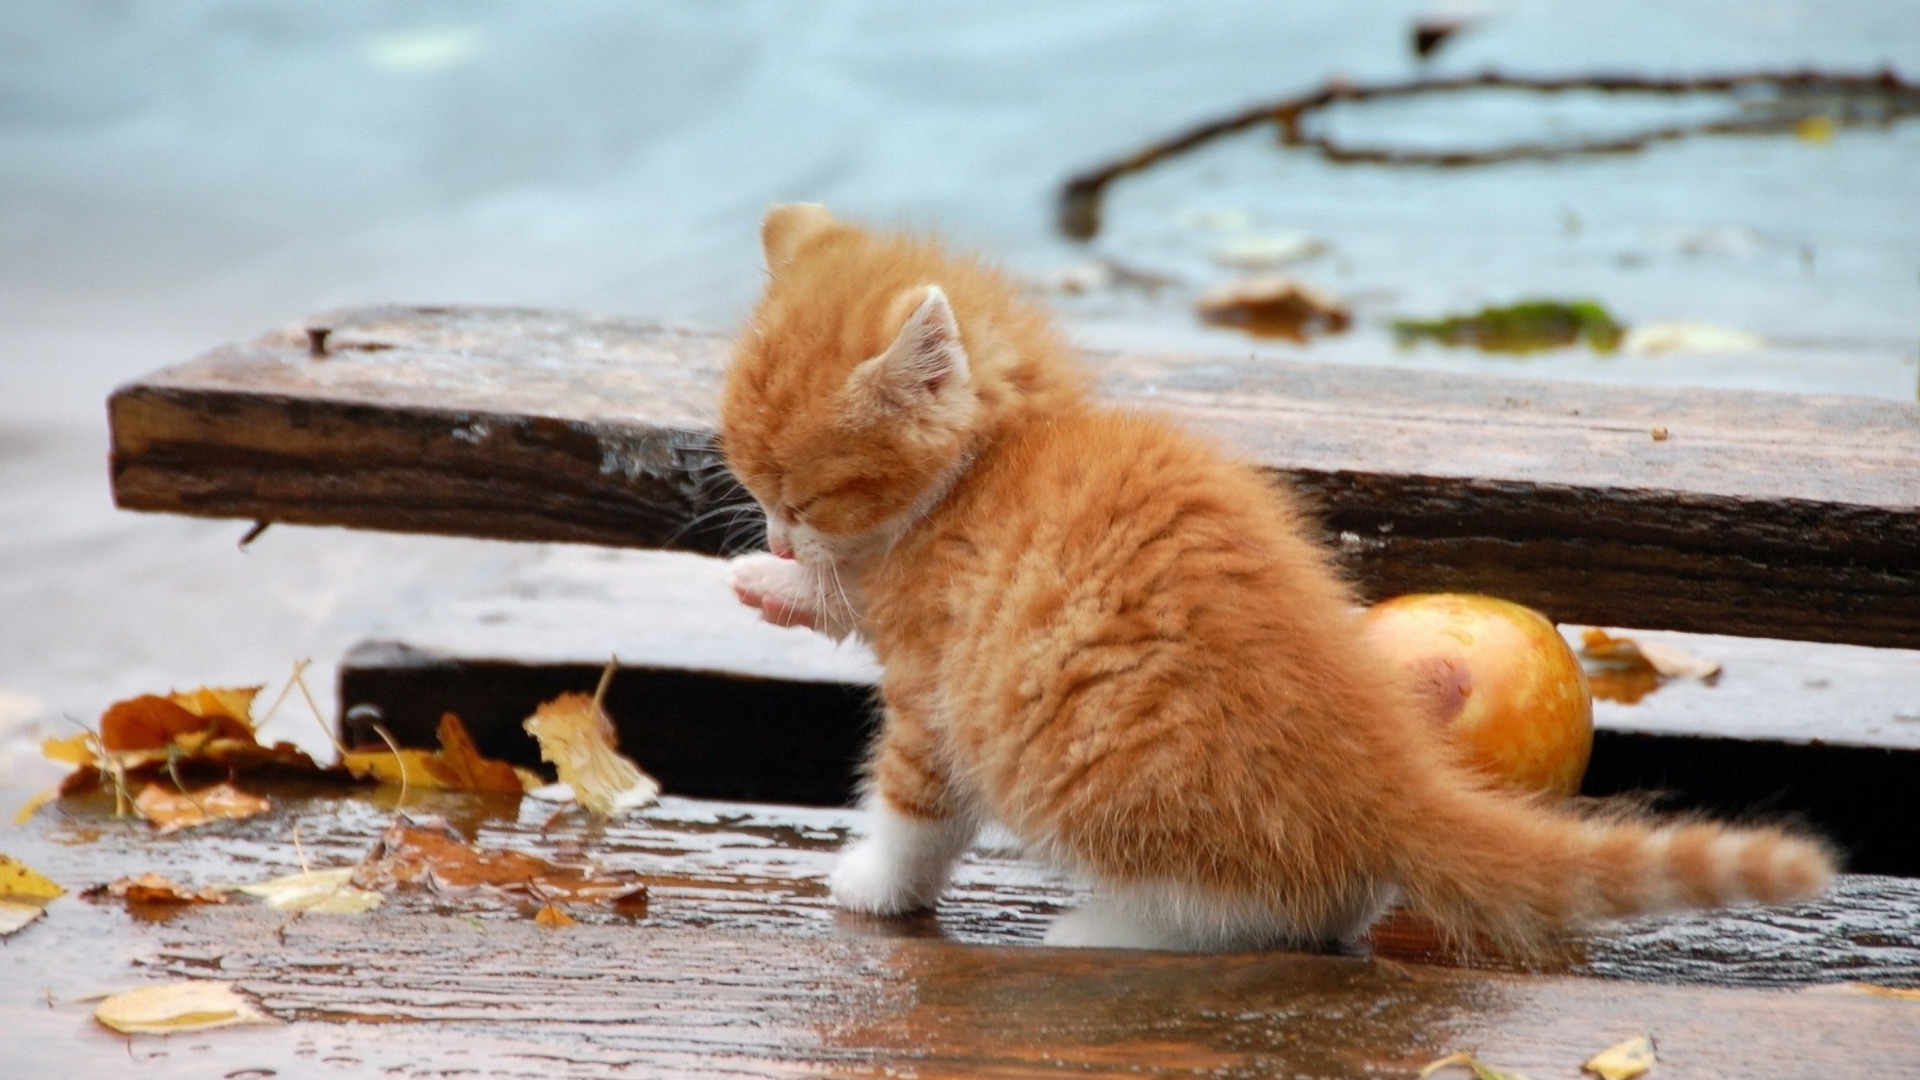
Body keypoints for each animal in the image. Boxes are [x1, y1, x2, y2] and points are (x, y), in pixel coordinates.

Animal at [718, 203, 1827, 949]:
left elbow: (918, 803)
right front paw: (776, 587)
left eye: (803, 497)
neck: (997, 461)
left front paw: (876, 883)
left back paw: (1113, 930)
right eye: (755, 487)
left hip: (1115, 773)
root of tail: (1390, 783)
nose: (778, 538)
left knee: (1266, 906)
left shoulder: (941, 677)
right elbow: (849, 599)